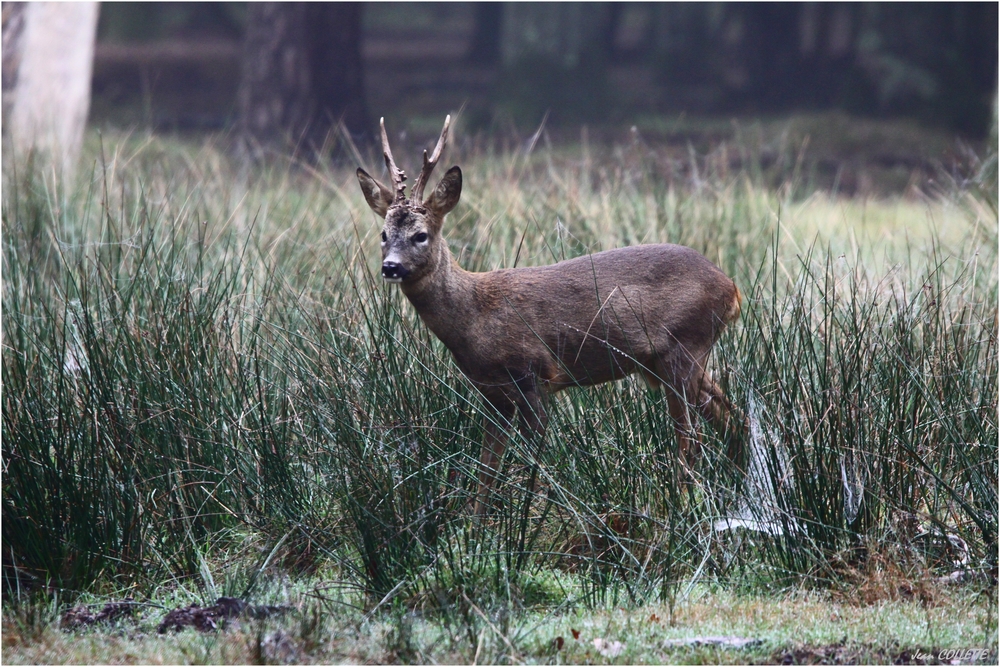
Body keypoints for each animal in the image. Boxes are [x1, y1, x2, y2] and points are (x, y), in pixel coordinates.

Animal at [358, 116, 744, 512]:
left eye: (420, 235)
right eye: (383, 234)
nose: (390, 267)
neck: (474, 317)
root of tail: (732, 289)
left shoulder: (534, 374)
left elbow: (535, 460)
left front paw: (534, 514)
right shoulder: (492, 392)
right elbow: (485, 470)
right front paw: (476, 523)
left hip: (684, 348)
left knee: (692, 439)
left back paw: (685, 503)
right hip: (665, 363)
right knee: (734, 419)